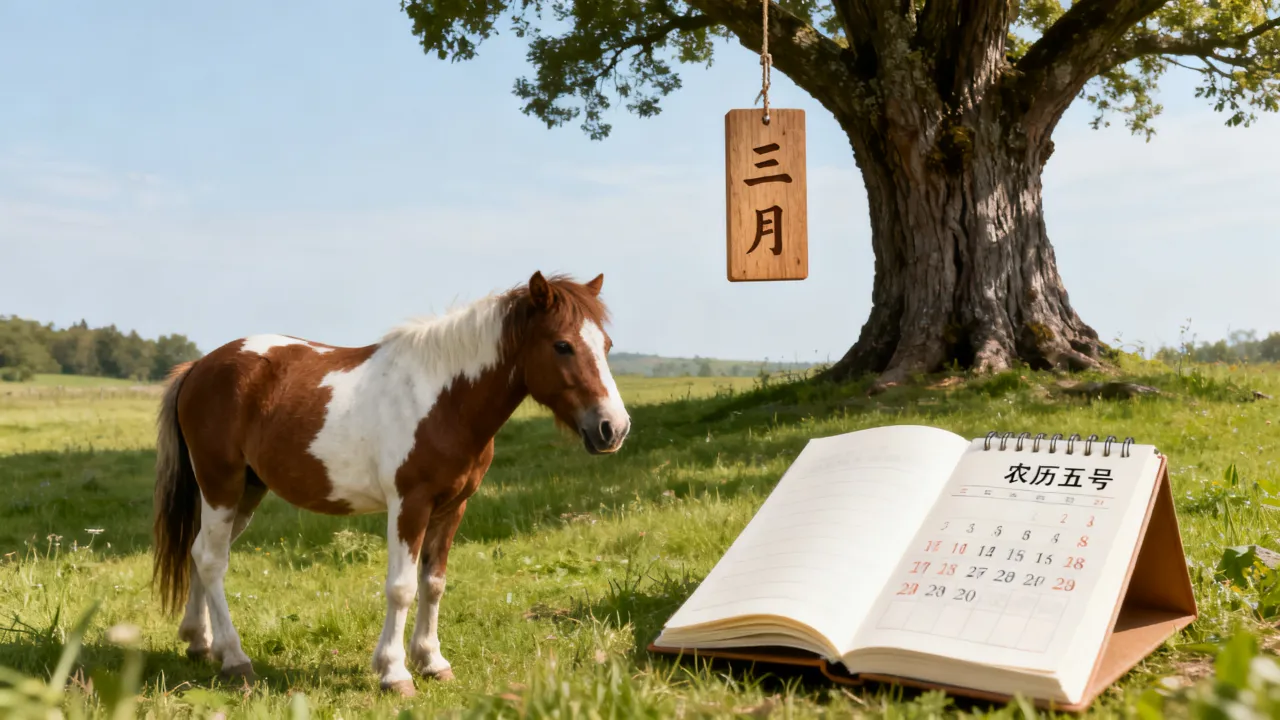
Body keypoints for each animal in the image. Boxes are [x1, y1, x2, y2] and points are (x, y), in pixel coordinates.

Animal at [150, 271, 630, 696]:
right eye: (562, 345)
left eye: (606, 345)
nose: (614, 428)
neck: (445, 401)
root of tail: (199, 366)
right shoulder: (409, 505)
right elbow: (401, 588)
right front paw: (395, 673)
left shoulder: (452, 506)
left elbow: (433, 583)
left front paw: (432, 662)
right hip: (221, 483)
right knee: (212, 560)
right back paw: (235, 658)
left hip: (246, 492)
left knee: (198, 552)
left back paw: (200, 643)